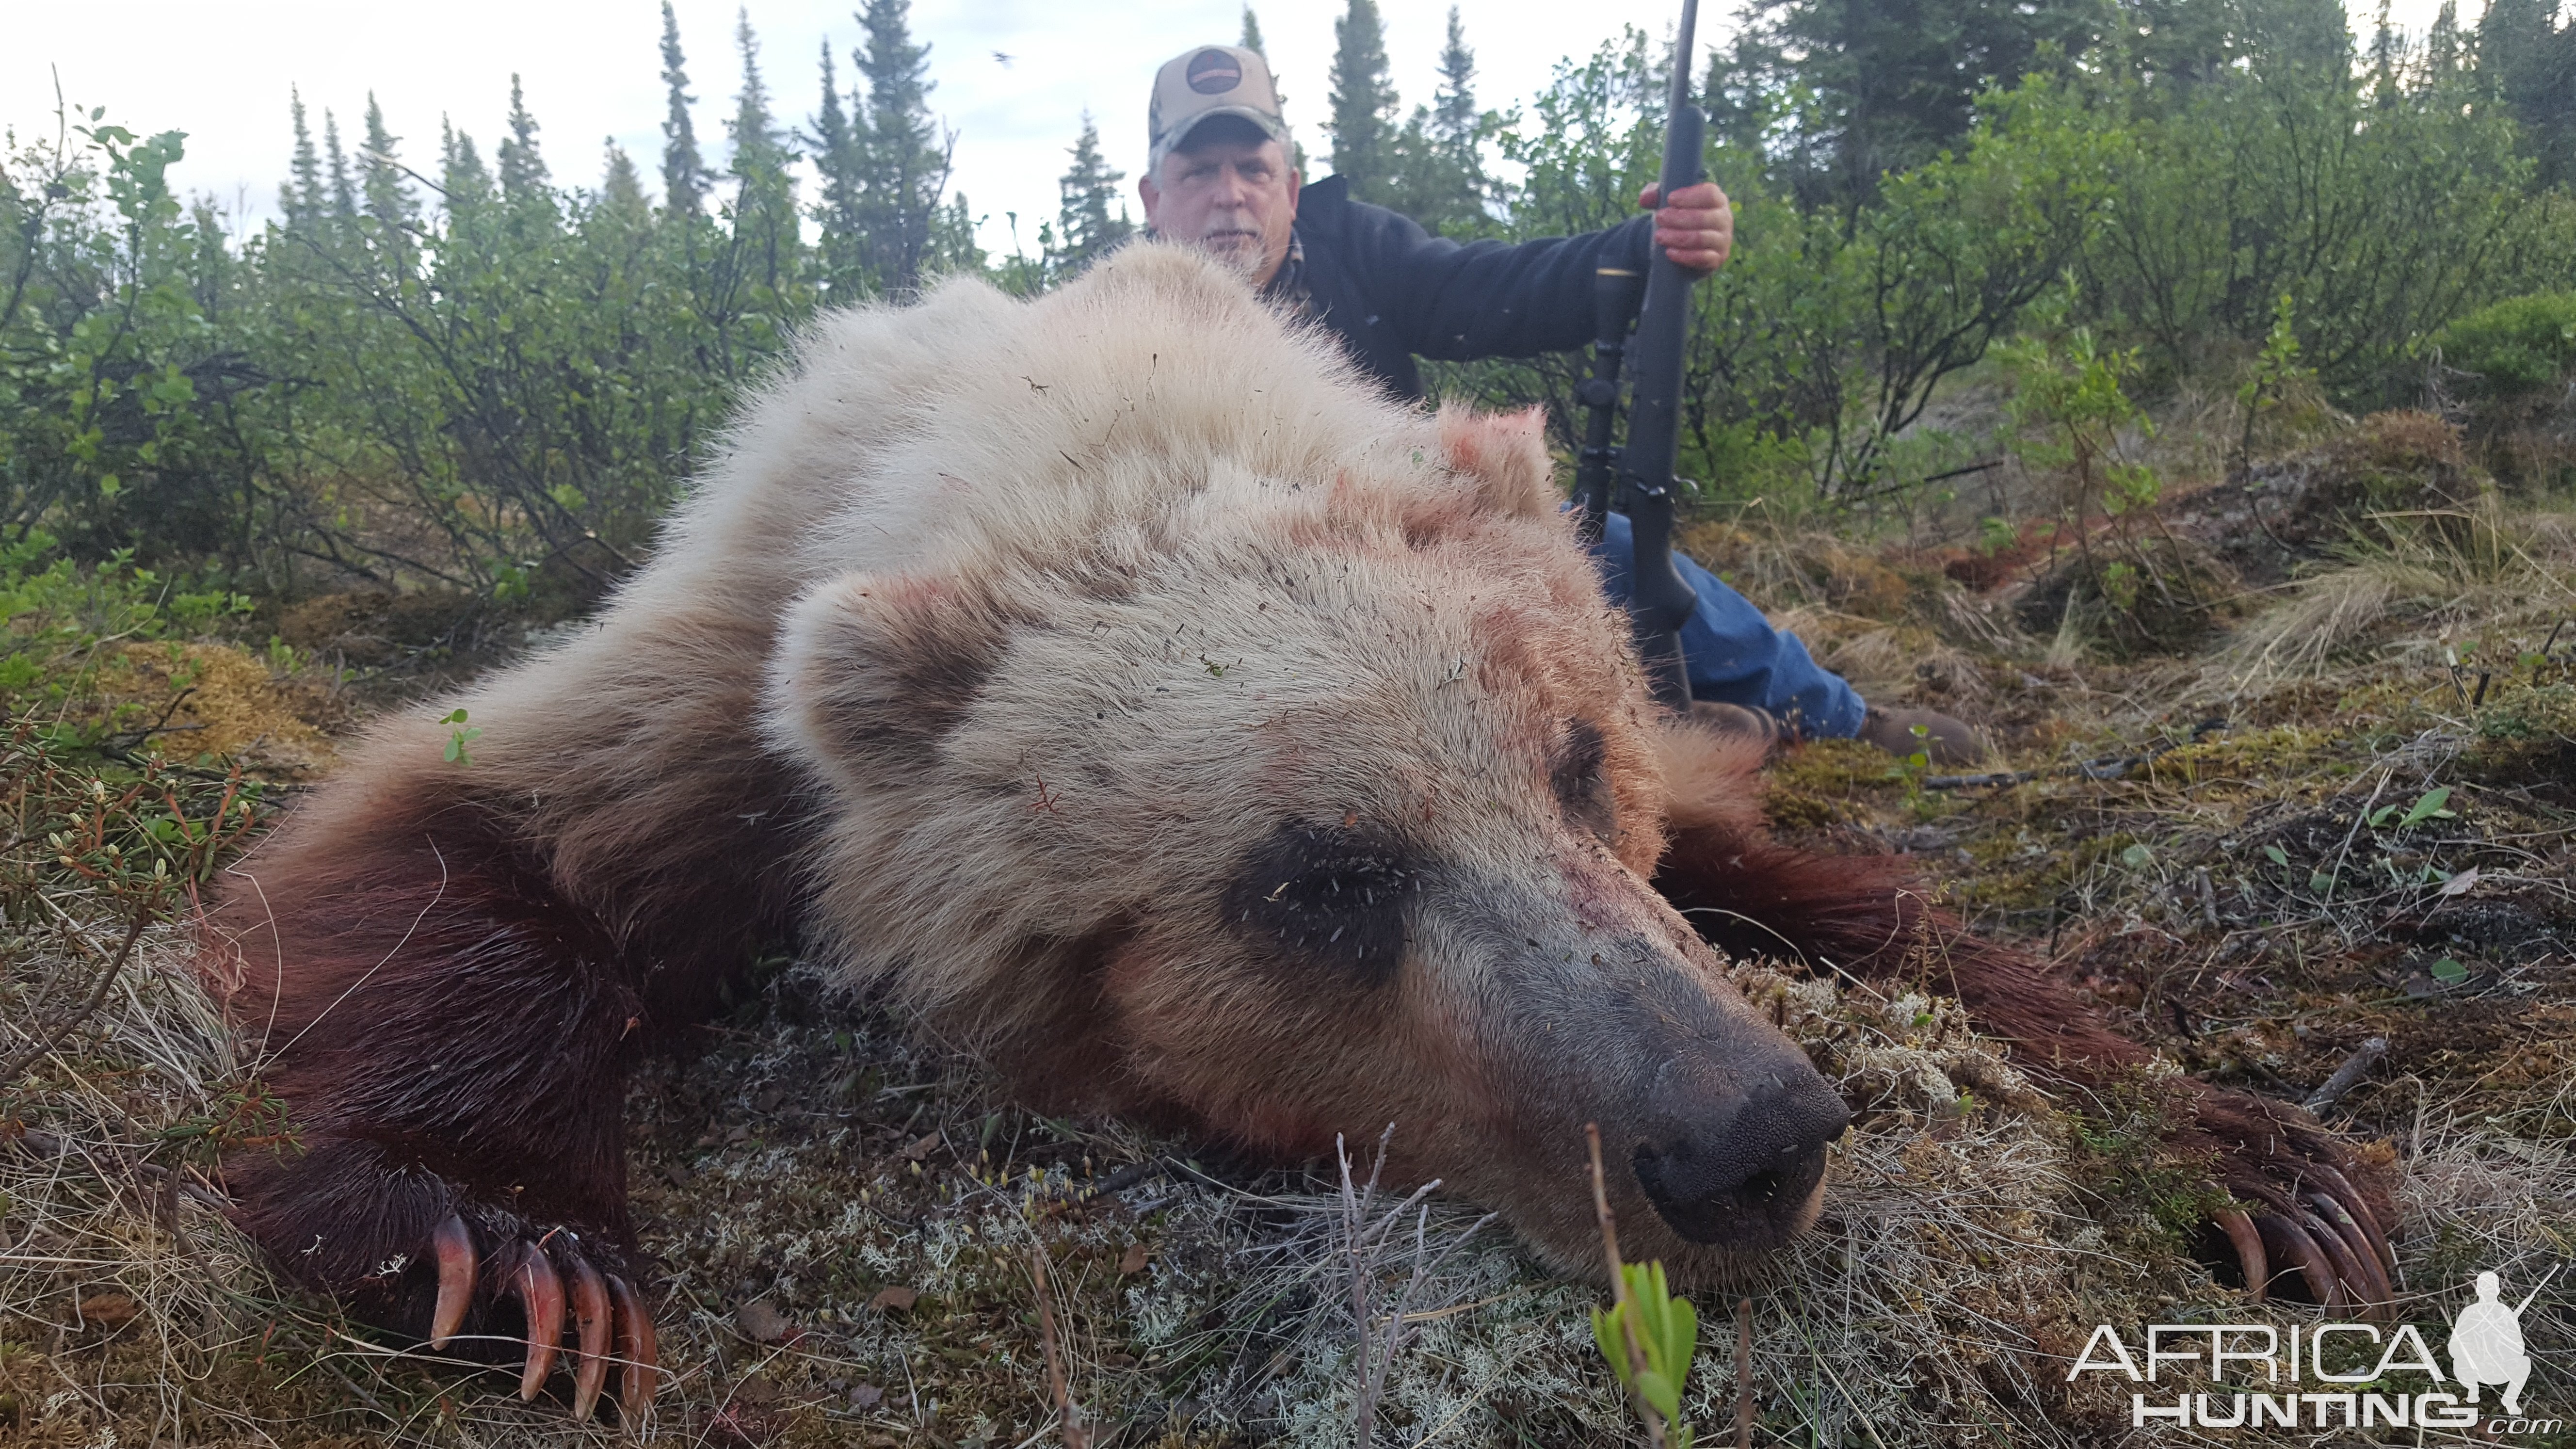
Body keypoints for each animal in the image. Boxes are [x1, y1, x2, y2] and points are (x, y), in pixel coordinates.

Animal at [201, 242, 2390, 1413]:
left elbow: (1825, 896)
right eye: (1321, 875)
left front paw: (2257, 1159)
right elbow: (464, 828)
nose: (1746, 1138)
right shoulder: (734, 661)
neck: (1115, 426)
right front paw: (509, 1243)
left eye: (1572, 761)